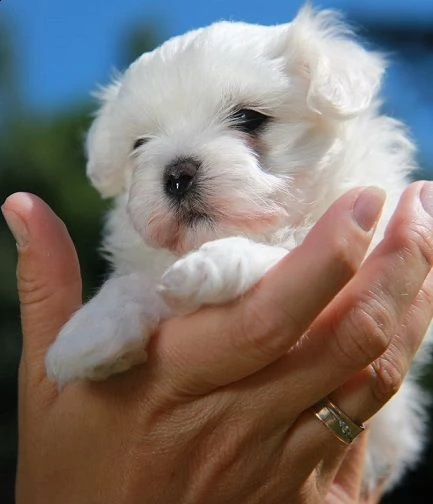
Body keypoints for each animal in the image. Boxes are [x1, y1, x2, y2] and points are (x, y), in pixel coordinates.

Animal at [45, 3, 426, 492]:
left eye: (249, 118)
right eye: (139, 144)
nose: (176, 174)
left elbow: (287, 249)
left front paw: (215, 264)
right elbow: (137, 283)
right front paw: (90, 332)